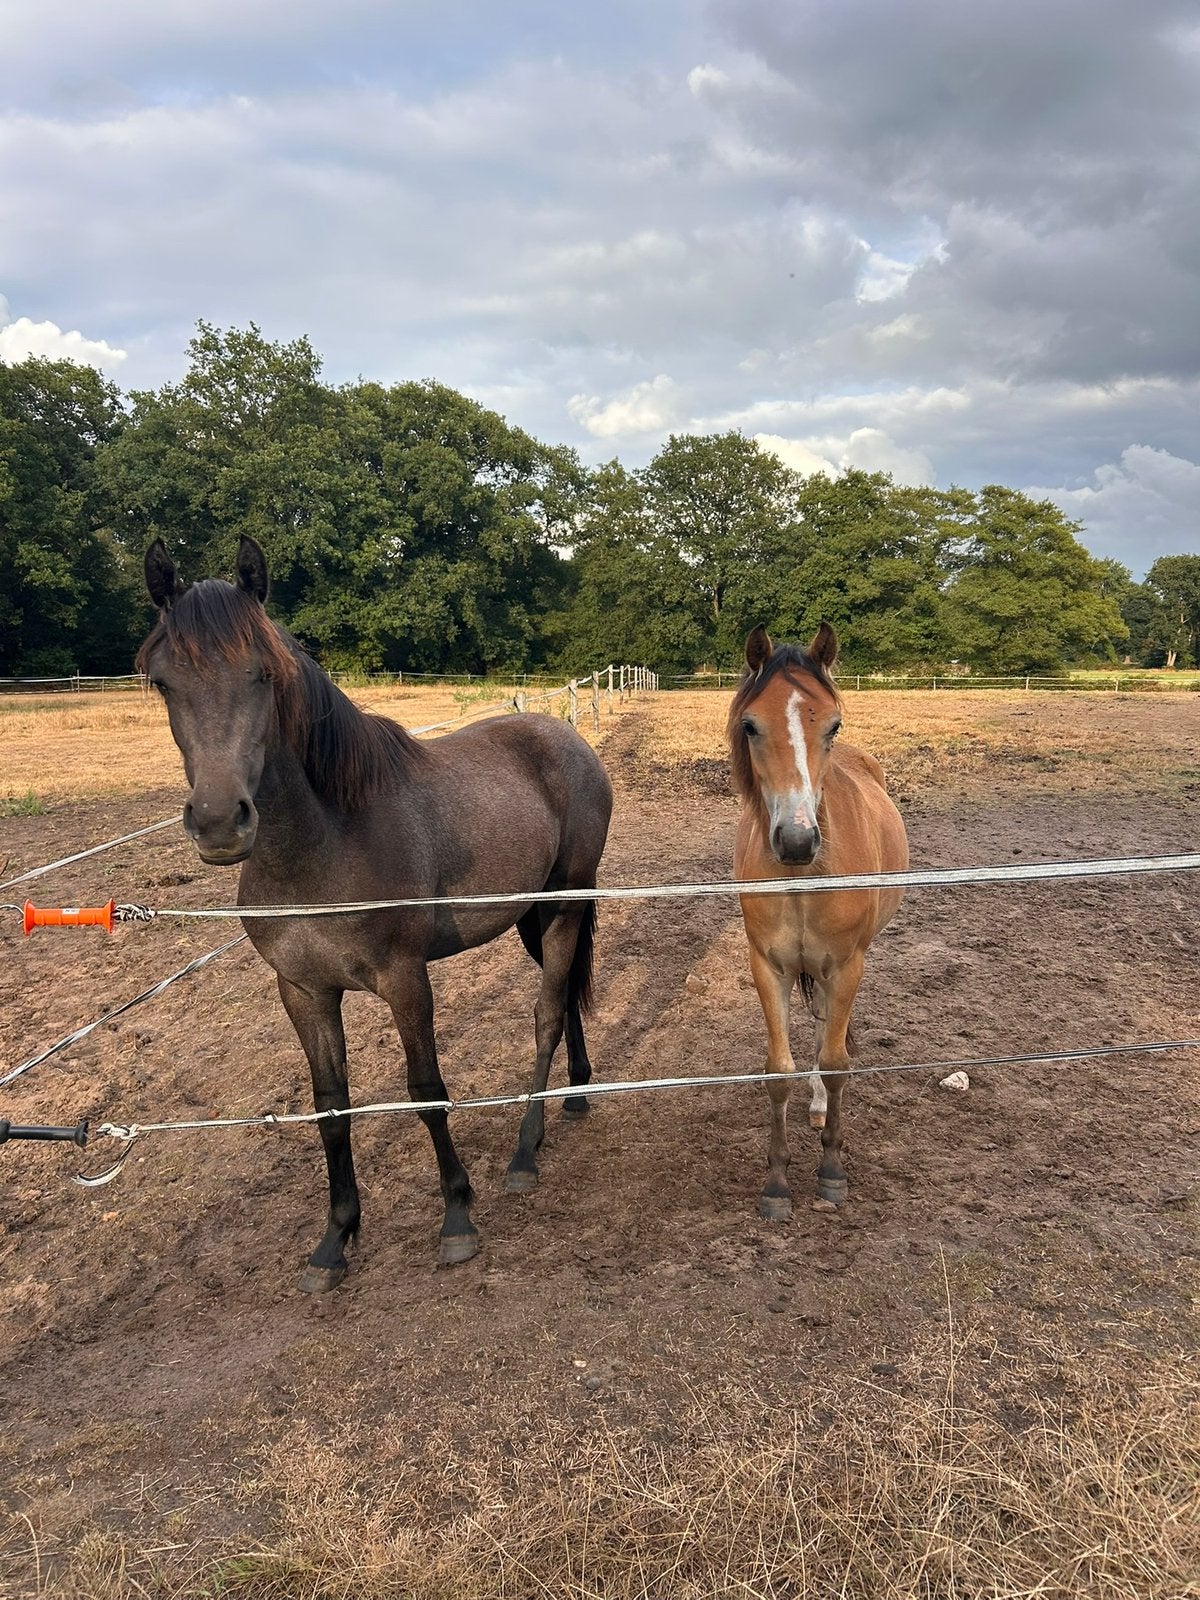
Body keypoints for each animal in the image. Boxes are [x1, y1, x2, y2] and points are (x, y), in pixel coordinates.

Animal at [137, 536, 613, 1291]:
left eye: (262, 674)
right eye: (162, 682)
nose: (217, 824)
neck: (322, 846)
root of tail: (567, 740)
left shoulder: (404, 978)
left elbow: (425, 1089)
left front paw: (456, 1217)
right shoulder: (303, 991)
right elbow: (331, 1107)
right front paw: (335, 1239)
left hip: (566, 906)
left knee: (544, 1013)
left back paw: (524, 1152)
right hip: (531, 918)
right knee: (564, 997)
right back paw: (575, 1096)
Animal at [728, 624, 908, 1219]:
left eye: (833, 724)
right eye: (750, 725)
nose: (797, 840)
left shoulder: (846, 965)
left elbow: (835, 1062)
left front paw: (831, 1170)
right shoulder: (770, 968)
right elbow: (778, 1070)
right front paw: (778, 1181)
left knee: (832, 1029)